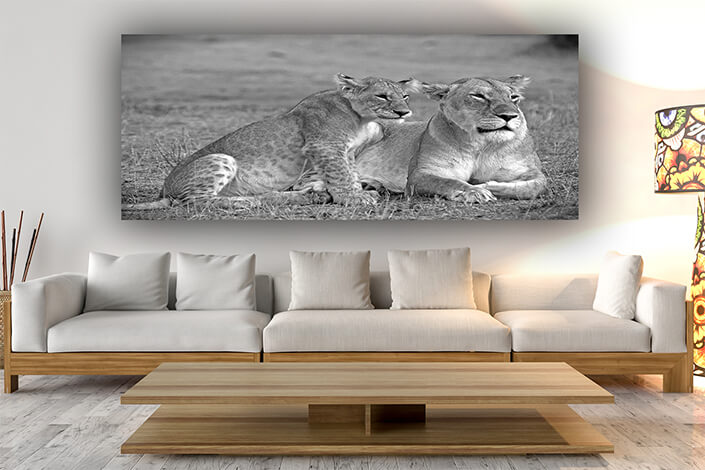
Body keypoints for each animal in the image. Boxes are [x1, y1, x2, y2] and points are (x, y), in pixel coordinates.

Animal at [122, 74, 416, 210]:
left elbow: (350, 172)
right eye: (382, 96)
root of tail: (163, 190)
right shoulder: (324, 146)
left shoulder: (349, 151)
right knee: (193, 201)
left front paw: (358, 191)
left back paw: (307, 196)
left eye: (404, 96)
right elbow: (341, 174)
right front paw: (354, 198)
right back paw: (246, 204)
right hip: (221, 159)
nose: (404, 112)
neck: (362, 119)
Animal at [356, 76, 547, 202]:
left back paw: (371, 185)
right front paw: (475, 191)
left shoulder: (528, 170)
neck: (481, 144)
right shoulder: (421, 173)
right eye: (478, 96)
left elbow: (535, 186)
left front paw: (485, 186)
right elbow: (447, 181)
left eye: (513, 97)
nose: (510, 116)